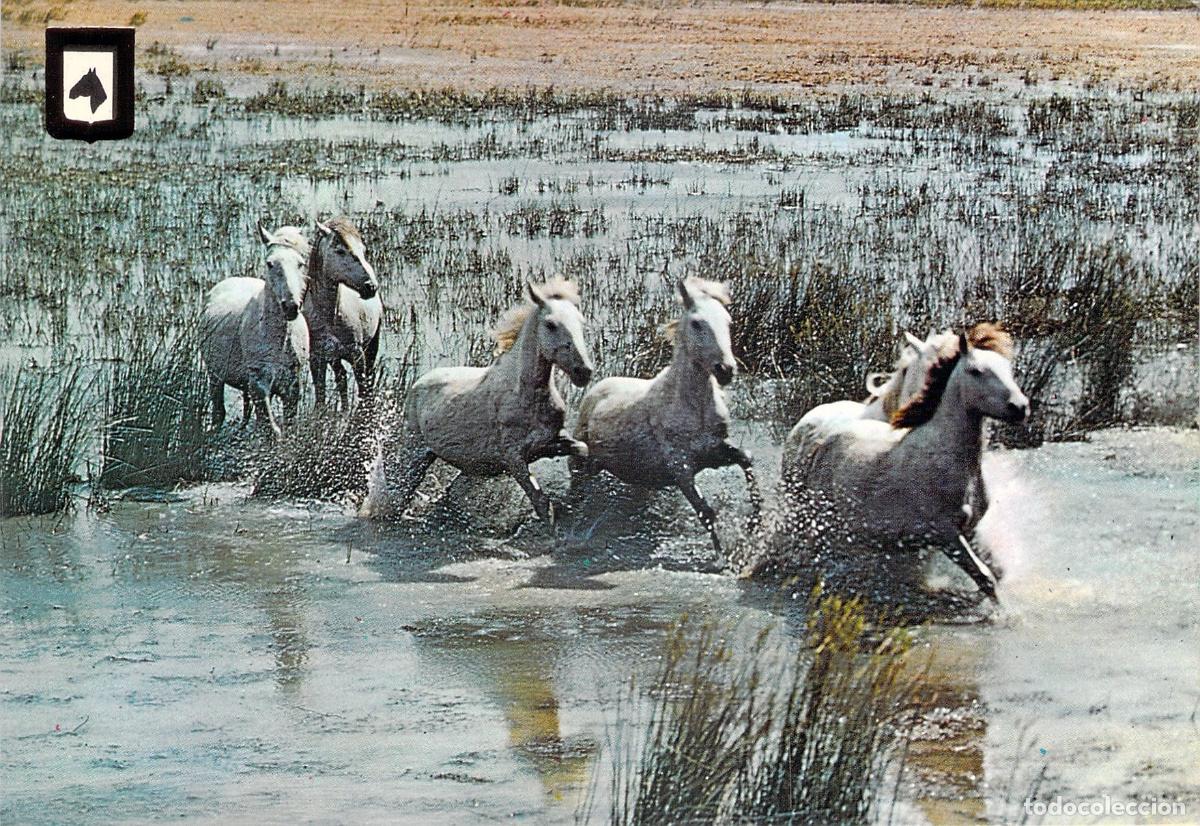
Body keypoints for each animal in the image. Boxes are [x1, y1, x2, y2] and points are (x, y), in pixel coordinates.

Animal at [200, 223, 310, 438]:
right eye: (270, 263)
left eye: (300, 263)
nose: (291, 307)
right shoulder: (259, 384)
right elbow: (272, 430)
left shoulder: (292, 386)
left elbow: (288, 427)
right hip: (215, 376)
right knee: (219, 413)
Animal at [303, 218, 382, 409]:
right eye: (339, 250)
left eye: (363, 250)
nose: (371, 286)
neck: (329, 318)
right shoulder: (317, 359)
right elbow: (321, 398)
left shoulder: (357, 355)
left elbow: (364, 392)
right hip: (335, 358)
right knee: (342, 379)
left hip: (371, 347)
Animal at [361, 279, 593, 522]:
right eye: (550, 324)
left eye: (580, 322)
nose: (583, 371)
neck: (526, 395)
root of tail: (417, 384)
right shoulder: (514, 459)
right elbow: (542, 505)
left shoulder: (549, 444)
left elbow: (582, 448)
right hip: (414, 454)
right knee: (398, 497)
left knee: (446, 495)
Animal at [570, 277, 761, 554]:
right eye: (696, 323)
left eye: (728, 322)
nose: (725, 370)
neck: (692, 406)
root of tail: (596, 389)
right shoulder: (680, 467)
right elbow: (706, 511)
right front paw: (723, 554)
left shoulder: (715, 451)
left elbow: (746, 459)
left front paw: (755, 522)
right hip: (581, 463)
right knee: (575, 493)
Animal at [776, 324, 1027, 601]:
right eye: (976, 371)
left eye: (1008, 369)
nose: (1020, 407)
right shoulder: (944, 534)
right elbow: (985, 577)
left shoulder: (968, 531)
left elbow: (995, 575)